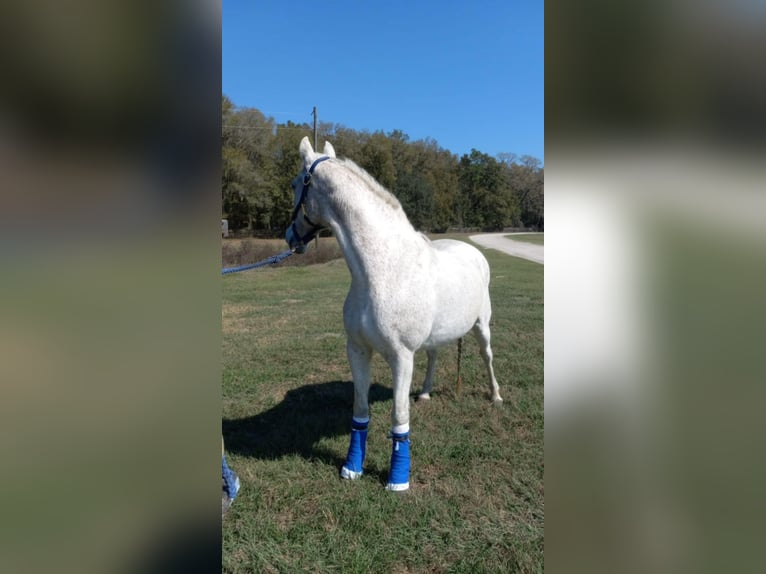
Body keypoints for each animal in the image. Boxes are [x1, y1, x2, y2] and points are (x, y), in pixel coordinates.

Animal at [285, 137, 502, 491]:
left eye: (294, 184)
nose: (290, 238)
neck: (382, 270)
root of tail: (473, 251)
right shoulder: (357, 350)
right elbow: (360, 411)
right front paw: (351, 468)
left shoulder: (401, 357)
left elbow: (398, 417)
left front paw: (398, 479)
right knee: (434, 356)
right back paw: (425, 393)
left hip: (482, 326)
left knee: (487, 357)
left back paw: (495, 396)